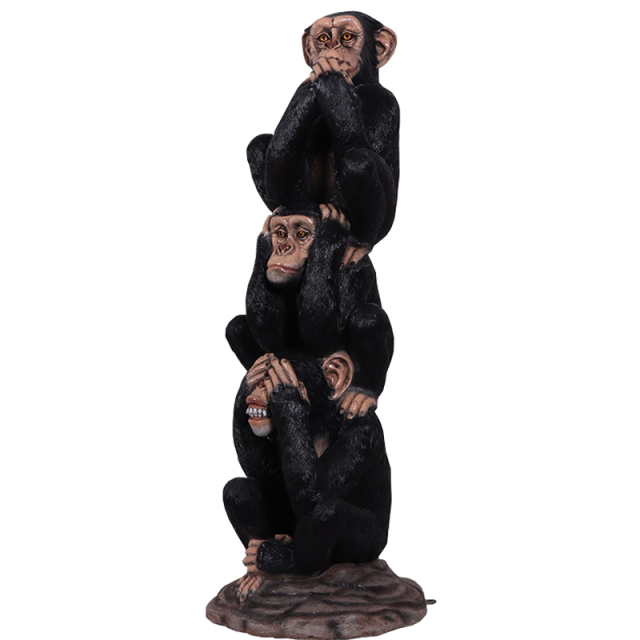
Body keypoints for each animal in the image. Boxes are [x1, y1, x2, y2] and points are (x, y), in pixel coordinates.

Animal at [223, 352, 391, 601]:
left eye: (271, 377)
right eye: (262, 378)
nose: (259, 386)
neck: (318, 420)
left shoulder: (362, 432)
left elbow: (316, 494)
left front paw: (287, 397)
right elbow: (275, 483)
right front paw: (246, 384)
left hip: (370, 546)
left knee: (327, 513)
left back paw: (280, 562)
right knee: (238, 490)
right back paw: (259, 574)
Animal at [247, 12, 399, 253]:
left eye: (347, 36)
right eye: (323, 38)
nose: (331, 47)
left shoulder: (383, 101)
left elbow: (359, 149)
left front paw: (331, 82)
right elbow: (287, 189)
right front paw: (314, 85)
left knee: (359, 160)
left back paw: (357, 243)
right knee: (258, 144)